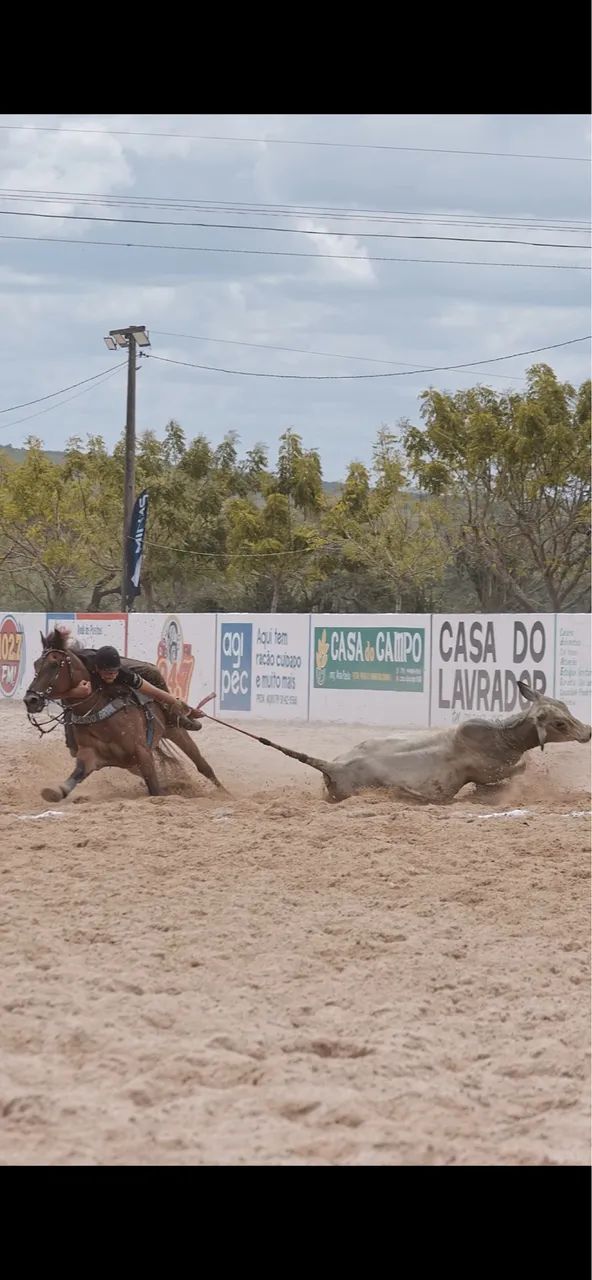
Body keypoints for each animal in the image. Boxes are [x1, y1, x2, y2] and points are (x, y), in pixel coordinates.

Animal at [24, 628, 226, 802]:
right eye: (35, 664)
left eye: (54, 664)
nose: (30, 700)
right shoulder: (90, 755)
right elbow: (76, 775)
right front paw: (55, 792)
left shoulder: (142, 751)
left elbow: (155, 788)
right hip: (131, 764)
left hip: (175, 732)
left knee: (203, 766)